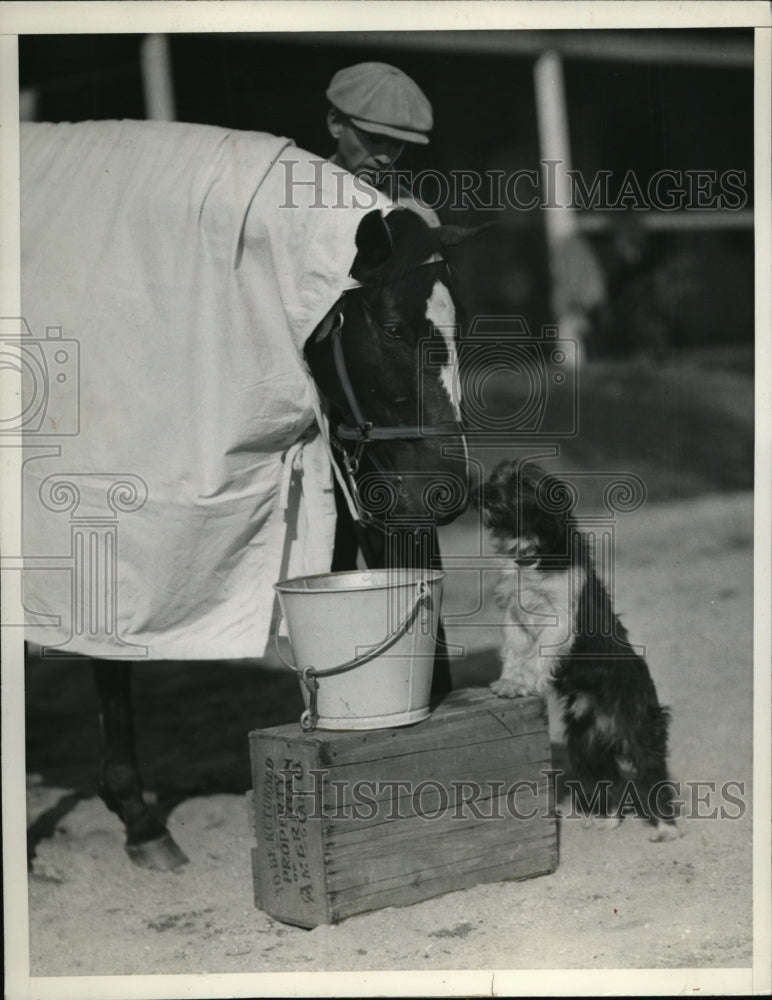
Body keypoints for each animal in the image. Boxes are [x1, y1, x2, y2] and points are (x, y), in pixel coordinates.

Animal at [486, 464, 680, 840]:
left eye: (521, 485)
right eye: (497, 475)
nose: (484, 492)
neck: (534, 554)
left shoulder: (560, 620)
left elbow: (536, 657)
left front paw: (522, 684)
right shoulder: (514, 617)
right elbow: (515, 654)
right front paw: (509, 682)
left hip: (637, 730)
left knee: (652, 772)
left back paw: (666, 827)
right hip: (586, 744)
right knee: (611, 779)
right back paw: (608, 818)